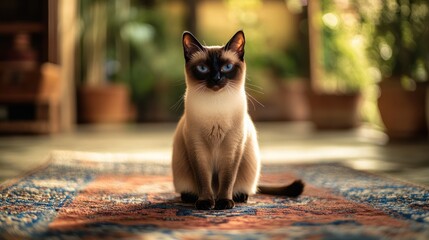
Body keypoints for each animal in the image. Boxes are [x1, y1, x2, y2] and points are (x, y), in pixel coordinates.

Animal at [171, 30, 304, 210]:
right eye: (203, 68)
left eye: (227, 67)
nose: (216, 78)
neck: (216, 106)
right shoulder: (197, 148)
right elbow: (203, 179)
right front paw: (205, 203)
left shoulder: (232, 148)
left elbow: (228, 179)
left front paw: (223, 203)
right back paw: (192, 197)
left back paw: (239, 197)